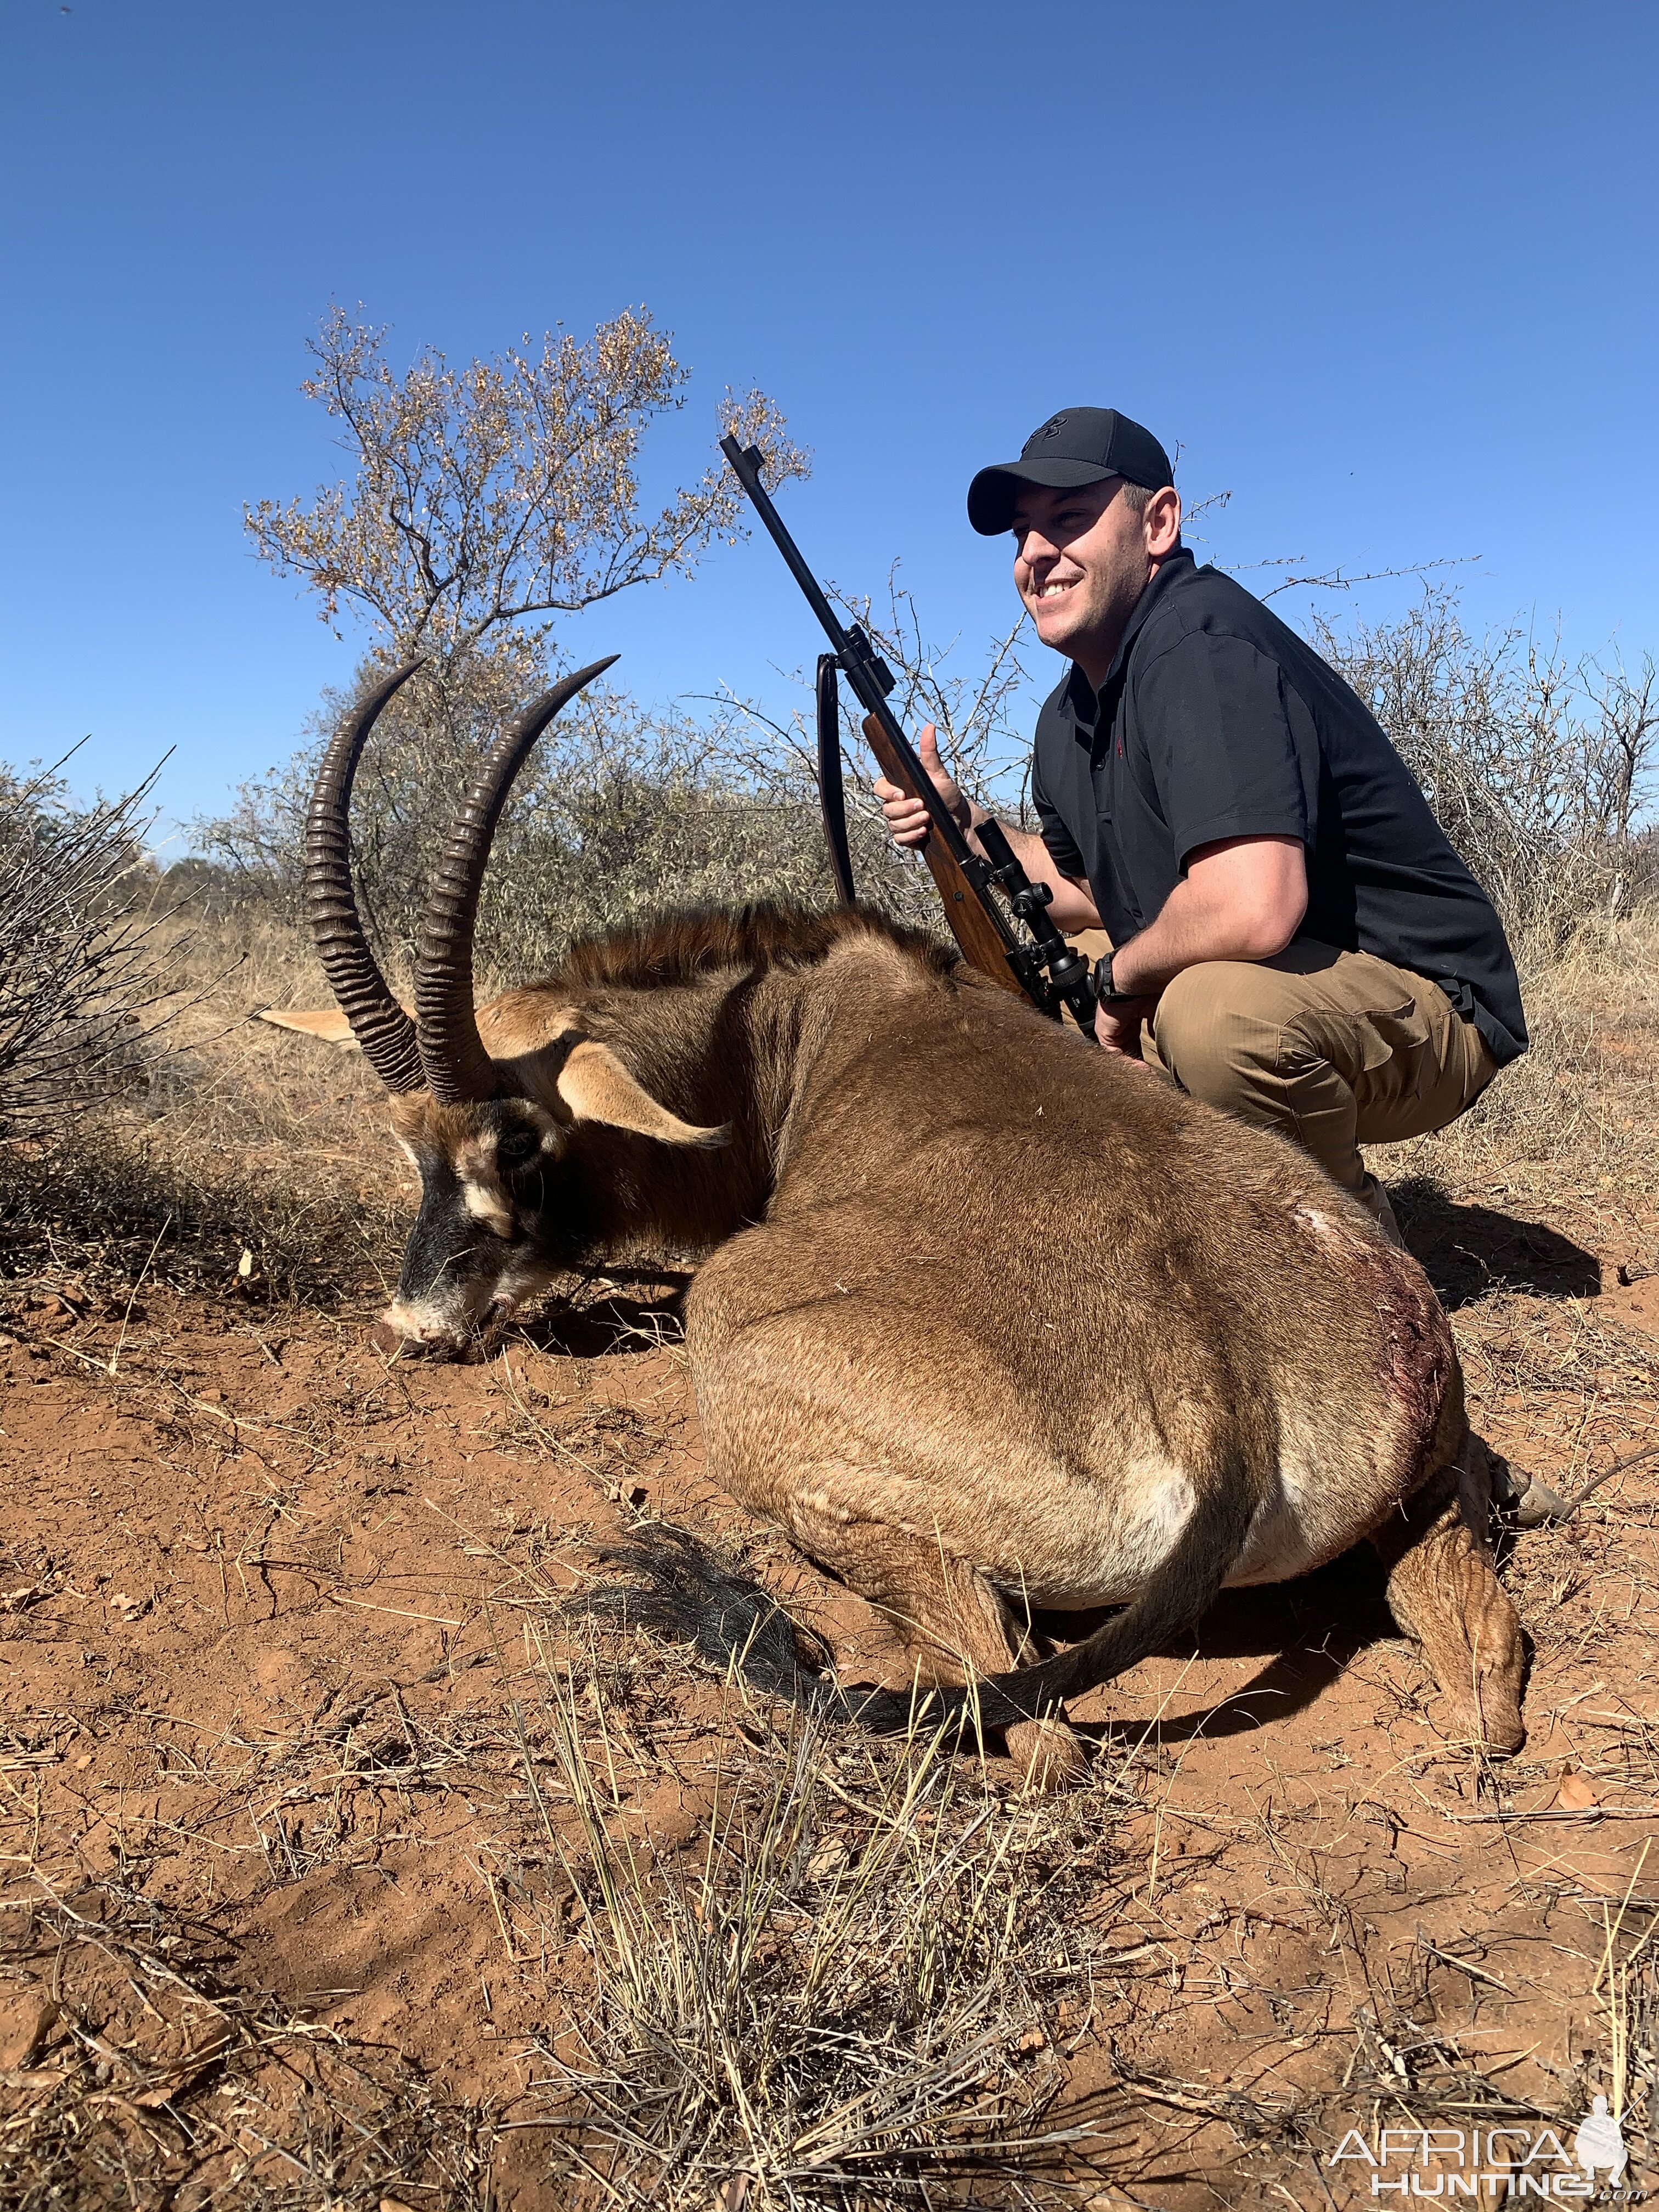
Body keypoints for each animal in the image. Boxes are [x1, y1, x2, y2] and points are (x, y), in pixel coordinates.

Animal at [296, 654, 1531, 1778]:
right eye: (409, 1147)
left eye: (519, 1145)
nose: (416, 1325)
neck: (787, 1031)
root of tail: (1225, 1392)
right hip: (1421, 1483)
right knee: (1483, 1651)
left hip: (746, 1346)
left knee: (1027, 1722)